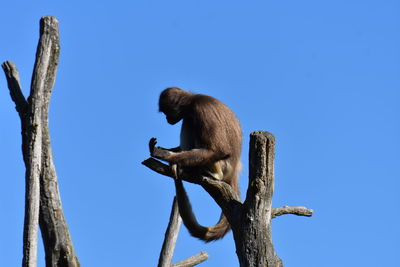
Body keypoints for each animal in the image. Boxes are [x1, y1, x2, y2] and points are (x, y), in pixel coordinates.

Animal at [149, 87, 241, 243]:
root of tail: (234, 172)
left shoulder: (201, 109)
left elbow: (221, 150)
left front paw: (164, 155)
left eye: (166, 112)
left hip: (223, 166)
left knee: (190, 124)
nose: (166, 119)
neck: (193, 100)